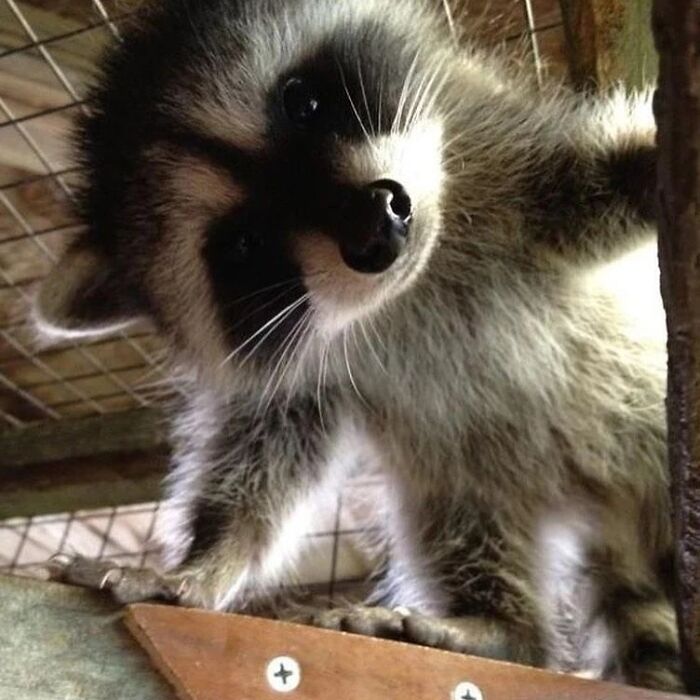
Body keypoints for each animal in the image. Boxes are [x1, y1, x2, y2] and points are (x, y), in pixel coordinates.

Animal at [34, 0, 679, 691]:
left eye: (302, 104)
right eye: (244, 245)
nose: (378, 225)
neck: (411, 286)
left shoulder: (504, 159)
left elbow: (589, 184)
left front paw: (648, 165)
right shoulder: (299, 364)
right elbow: (269, 449)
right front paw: (208, 555)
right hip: (481, 477)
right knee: (458, 518)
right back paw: (498, 627)